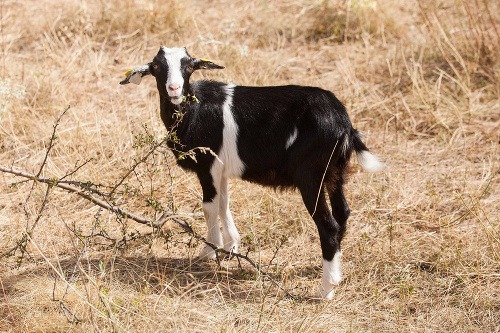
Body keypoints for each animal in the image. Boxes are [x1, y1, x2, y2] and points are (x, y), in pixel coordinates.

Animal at [120, 46, 382, 298]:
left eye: (189, 66)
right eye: (156, 67)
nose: (174, 88)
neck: (193, 107)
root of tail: (344, 124)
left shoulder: (207, 165)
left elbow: (209, 206)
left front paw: (209, 251)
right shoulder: (220, 168)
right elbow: (223, 203)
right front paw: (230, 246)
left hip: (311, 176)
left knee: (328, 226)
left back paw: (325, 290)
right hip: (335, 171)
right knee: (342, 212)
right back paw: (331, 270)